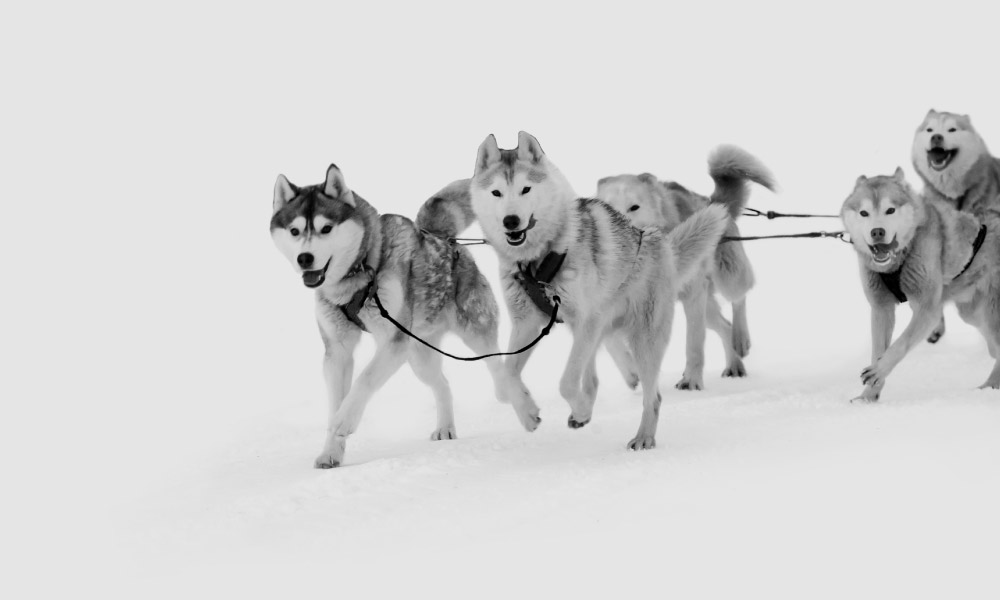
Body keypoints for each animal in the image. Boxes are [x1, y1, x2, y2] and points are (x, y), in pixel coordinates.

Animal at [270, 165, 540, 468]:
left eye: (325, 228)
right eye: (294, 231)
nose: (305, 258)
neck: (361, 272)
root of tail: (443, 239)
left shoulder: (393, 341)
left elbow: (364, 380)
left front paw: (344, 420)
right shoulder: (337, 351)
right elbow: (336, 401)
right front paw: (330, 451)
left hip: (474, 332)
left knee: (500, 368)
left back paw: (525, 409)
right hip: (419, 356)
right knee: (443, 384)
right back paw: (446, 427)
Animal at [464, 132, 732, 450]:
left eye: (525, 189)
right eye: (496, 193)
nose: (511, 221)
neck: (538, 261)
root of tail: (658, 241)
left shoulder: (585, 320)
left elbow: (567, 382)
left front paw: (576, 408)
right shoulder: (528, 323)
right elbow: (505, 378)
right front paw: (528, 413)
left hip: (640, 339)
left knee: (652, 397)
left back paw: (643, 437)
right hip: (595, 333)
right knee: (593, 379)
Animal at [592, 146, 772, 390]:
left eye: (634, 207)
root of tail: (711, 202)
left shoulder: (693, 295)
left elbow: (693, 344)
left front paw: (692, 381)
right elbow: (610, 340)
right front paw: (632, 372)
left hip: (727, 279)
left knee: (739, 299)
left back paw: (741, 338)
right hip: (707, 307)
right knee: (724, 325)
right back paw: (734, 364)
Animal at [840, 166, 996, 400]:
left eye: (890, 210)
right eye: (864, 213)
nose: (877, 232)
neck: (898, 262)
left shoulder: (928, 310)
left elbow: (900, 344)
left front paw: (879, 370)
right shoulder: (881, 309)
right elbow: (878, 350)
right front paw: (867, 397)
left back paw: (988, 386)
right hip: (972, 313)